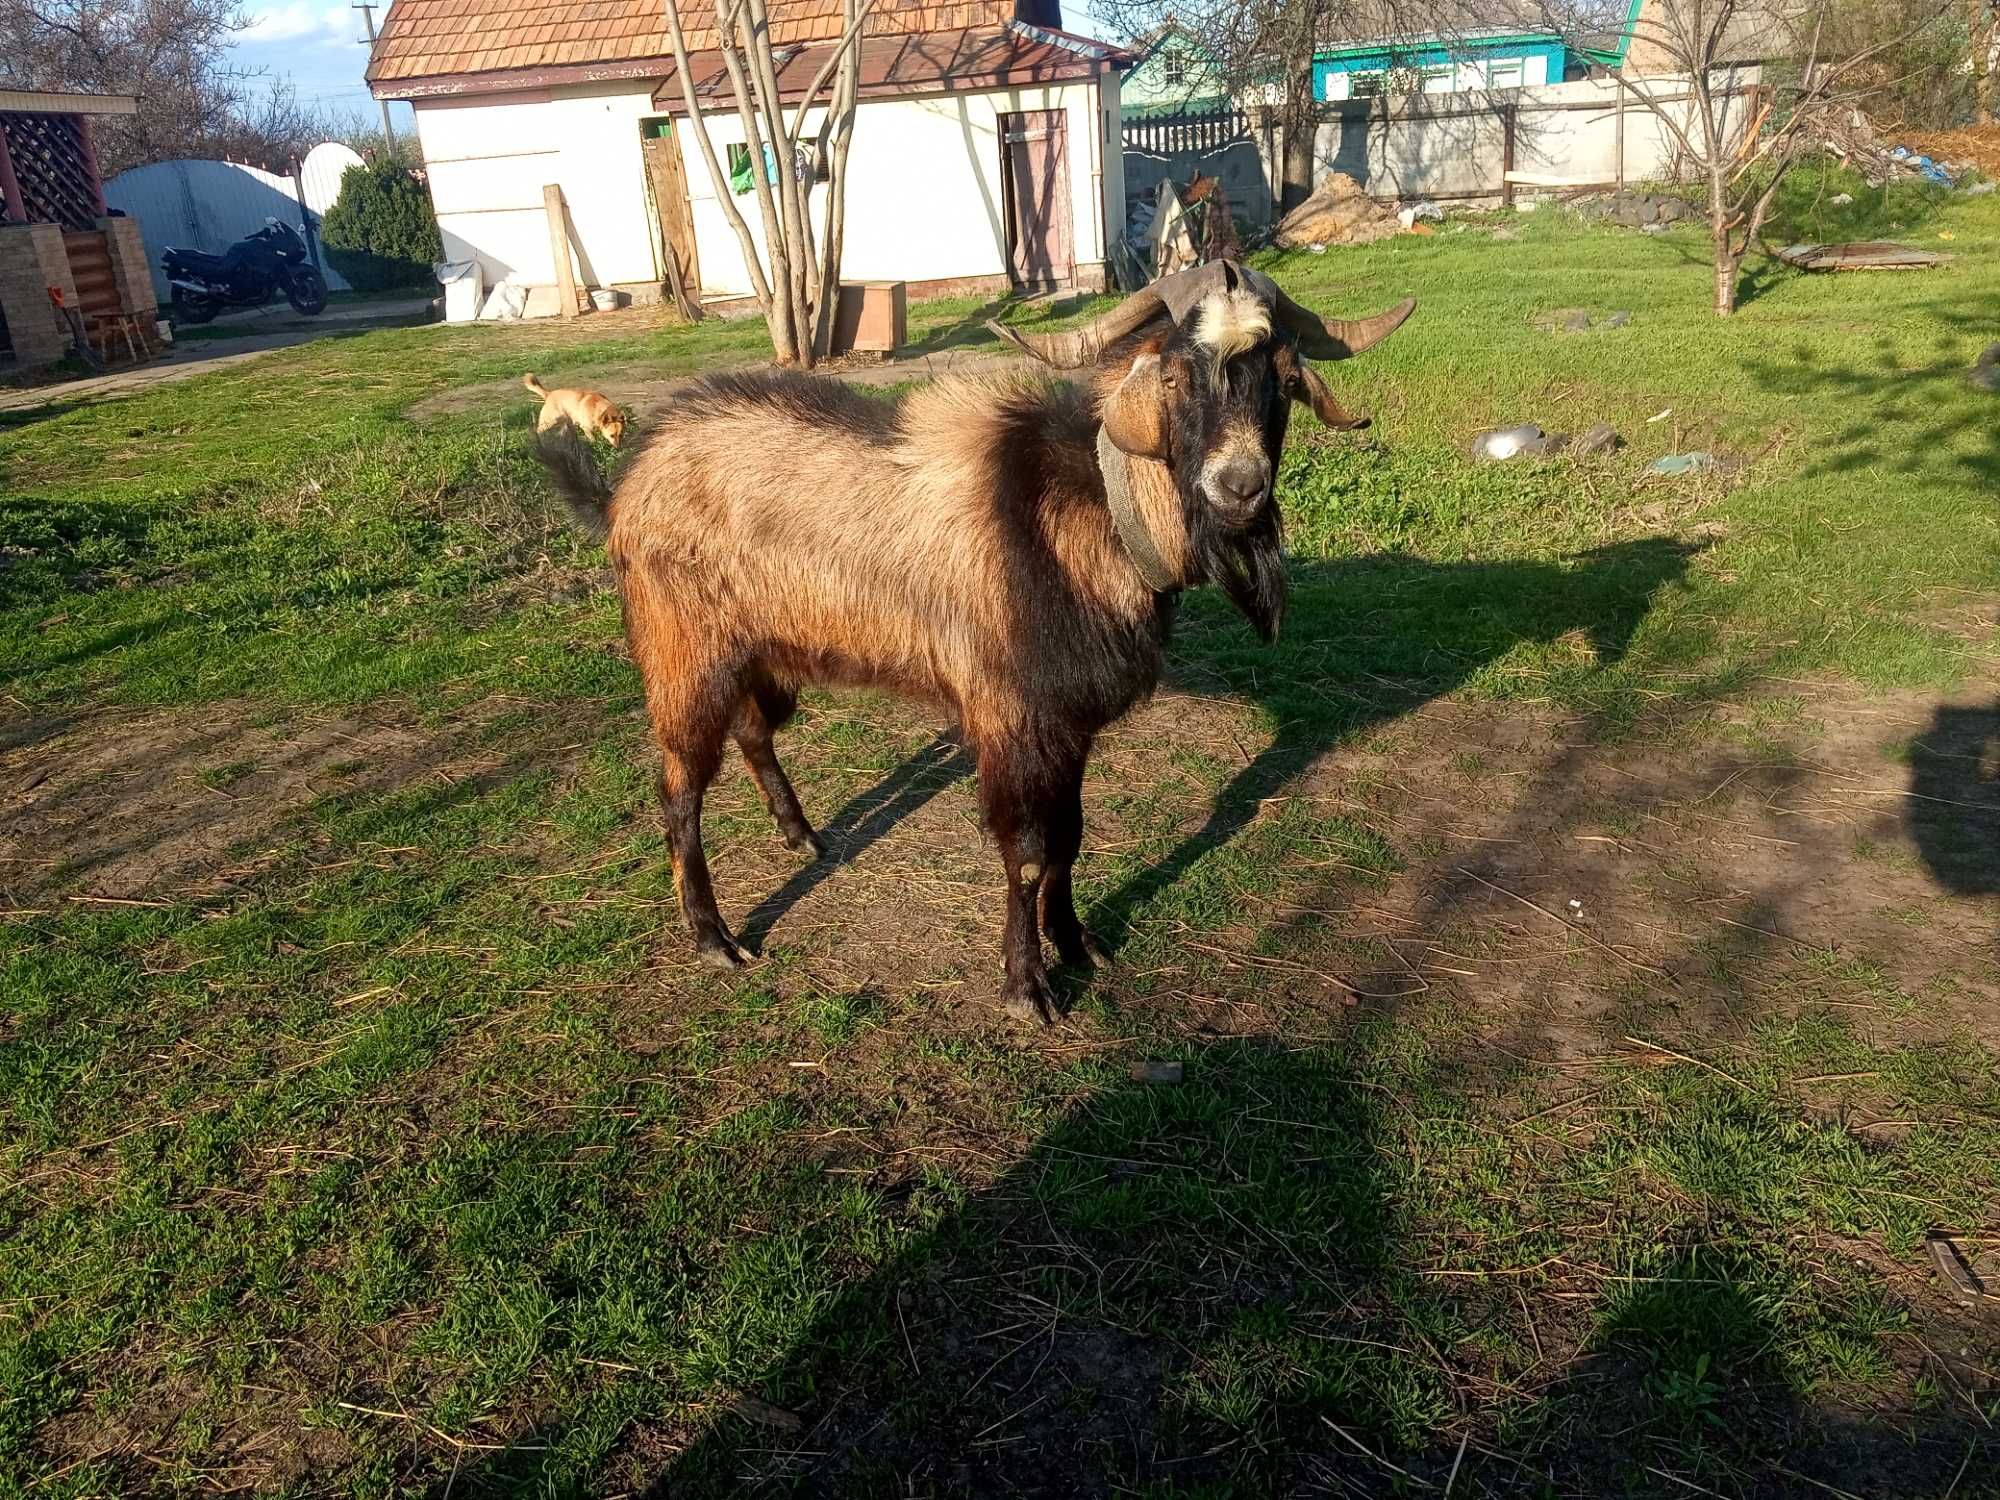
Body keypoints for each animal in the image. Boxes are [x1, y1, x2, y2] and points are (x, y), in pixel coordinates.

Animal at [532, 264, 1408, 1032]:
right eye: (1173, 376)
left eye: (1280, 376)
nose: (1239, 486)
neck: (1086, 512)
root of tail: (626, 482)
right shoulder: (1011, 719)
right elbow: (1026, 852)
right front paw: (1027, 988)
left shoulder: (1066, 725)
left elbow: (1070, 836)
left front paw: (1078, 943)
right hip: (684, 650)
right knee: (678, 786)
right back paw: (715, 938)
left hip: (765, 648)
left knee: (753, 730)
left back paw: (801, 835)